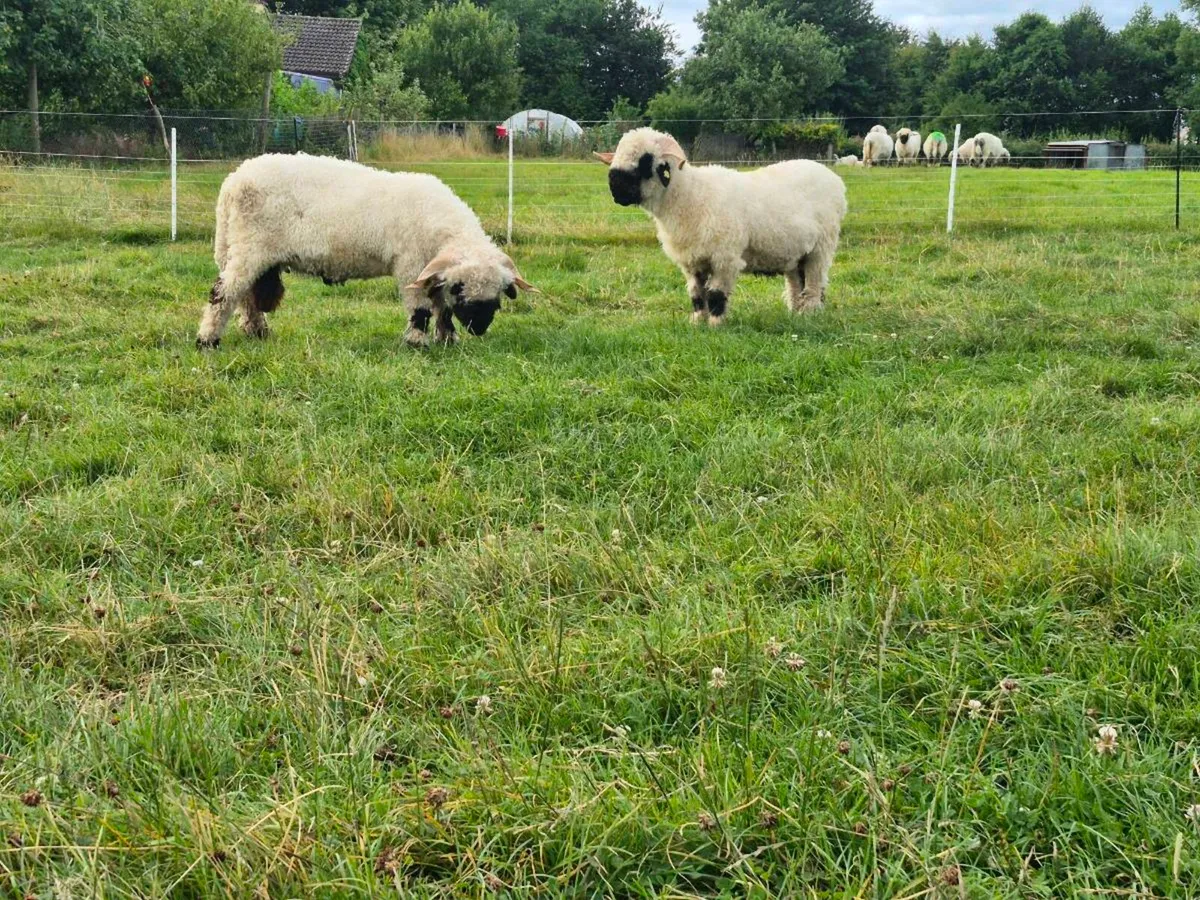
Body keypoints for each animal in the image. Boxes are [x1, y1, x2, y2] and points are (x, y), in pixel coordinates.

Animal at [195, 153, 536, 349]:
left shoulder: (432, 271)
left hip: (248, 251)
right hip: (251, 246)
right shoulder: (411, 265)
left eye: (498, 296)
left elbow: (441, 307)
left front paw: (447, 338)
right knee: (224, 293)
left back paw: (257, 332)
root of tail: (234, 181)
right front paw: (418, 341)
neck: (442, 226)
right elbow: (421, 307)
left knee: (246, 295)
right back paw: (208, 339)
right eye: (461, 288)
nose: (479, 329)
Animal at [594, 128, 847, 326]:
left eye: (646, 159)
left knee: (814, 283)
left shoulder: (724, 258)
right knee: (796, 283)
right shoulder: (692, 261)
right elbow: (697, 295)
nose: (615, 188)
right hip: (796, 253)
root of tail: (834, 179)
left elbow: (715, 295)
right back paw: (795, 312)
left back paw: (809, 313)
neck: (689, 196)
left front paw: (716, 324)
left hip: (821, 248)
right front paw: (697, 322)